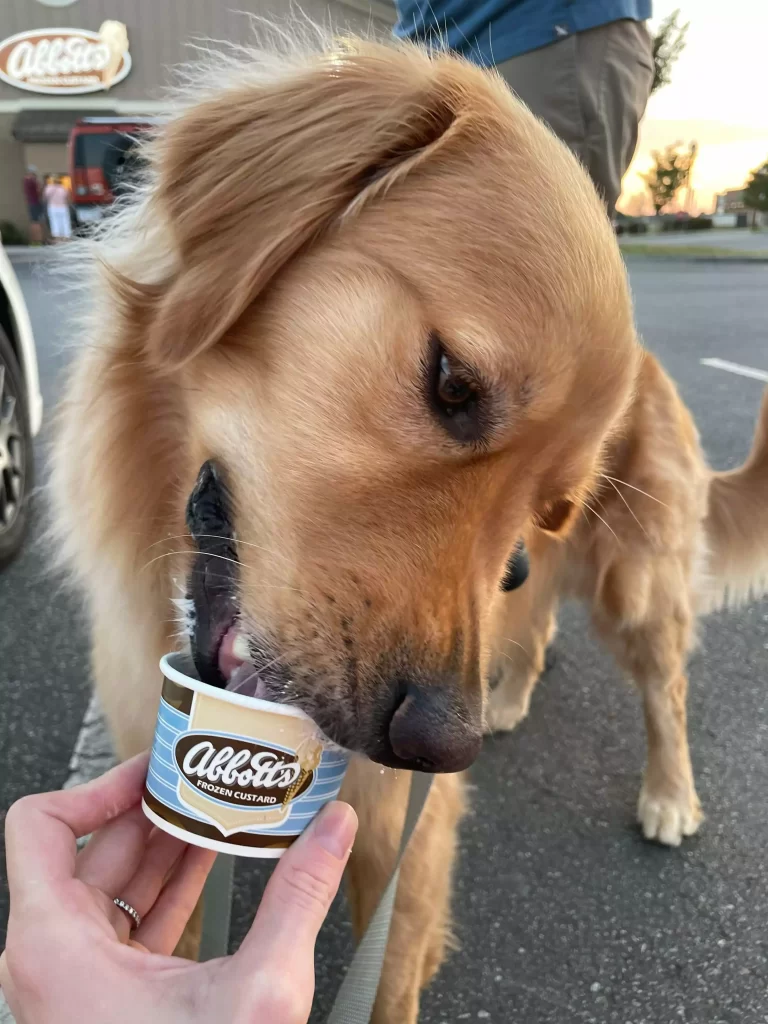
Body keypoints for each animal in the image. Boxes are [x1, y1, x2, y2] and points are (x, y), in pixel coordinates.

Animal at [52, 29, 768, 1015]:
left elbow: (388, 983)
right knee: (535, 635)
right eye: (453, 383)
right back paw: (509, 702)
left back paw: (668, 796)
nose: (439, 747)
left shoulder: (400, 838)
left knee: (668, 690)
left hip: (637, 587)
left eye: (547, 507)